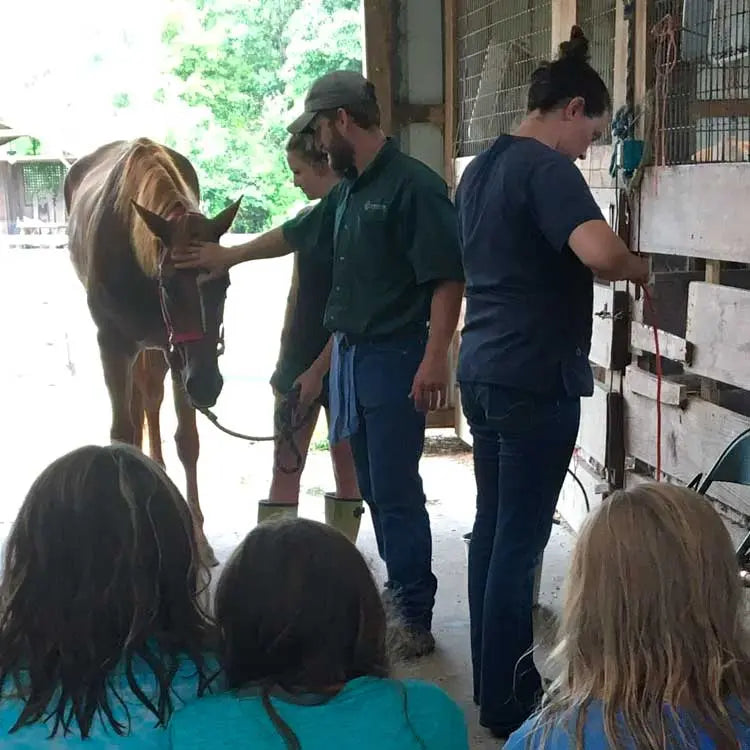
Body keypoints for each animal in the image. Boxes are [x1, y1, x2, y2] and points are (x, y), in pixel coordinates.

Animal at [65, 138, 242, 568]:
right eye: (168, 286)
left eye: (225, 283)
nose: (207, 385)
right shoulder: (114, 346)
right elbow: (122, 431)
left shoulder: (177, 351)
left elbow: (187, 440)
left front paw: (199, 540)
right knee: (137, 407)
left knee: (149, 398)